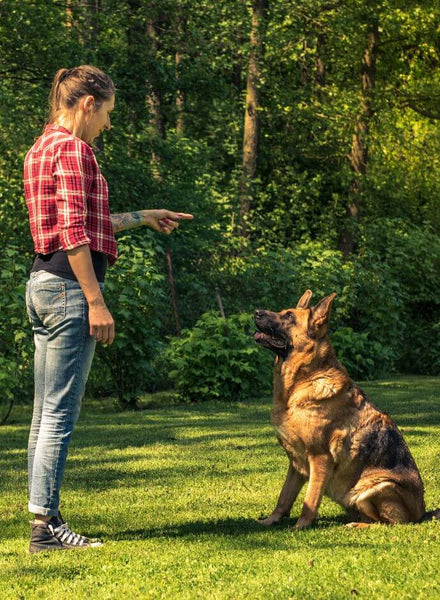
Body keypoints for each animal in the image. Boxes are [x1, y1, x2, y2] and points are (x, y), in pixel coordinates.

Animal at [253, 290, 438, 528]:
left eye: (289, 317)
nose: (255, 311)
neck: (301, 382)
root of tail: (421, 514)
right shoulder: (296, 464)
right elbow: (284, 498)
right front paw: (270, 521)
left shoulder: (320, 458)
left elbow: (309, 499)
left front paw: (301, 526)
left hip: (375, 487)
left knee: (386, 523)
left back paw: (357, 525)